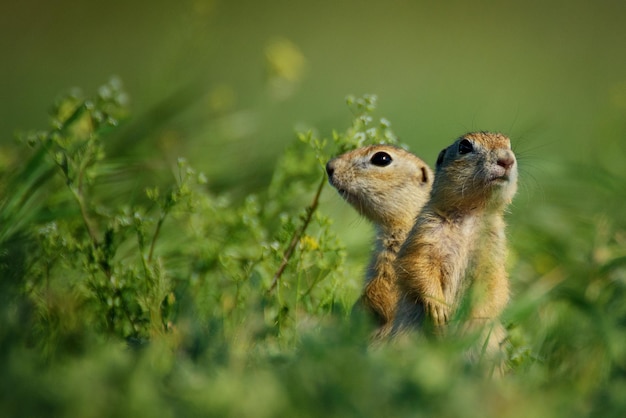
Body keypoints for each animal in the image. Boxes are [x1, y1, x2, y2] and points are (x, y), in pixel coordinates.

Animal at [390, 131, 516, 350]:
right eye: (464, 146)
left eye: (509, 145)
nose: (507, 160)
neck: (470, 214)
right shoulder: (426, 231)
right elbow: (417, 264)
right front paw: (439, 310)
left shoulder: (494, 248)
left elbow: (494, 284)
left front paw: (471, 321)